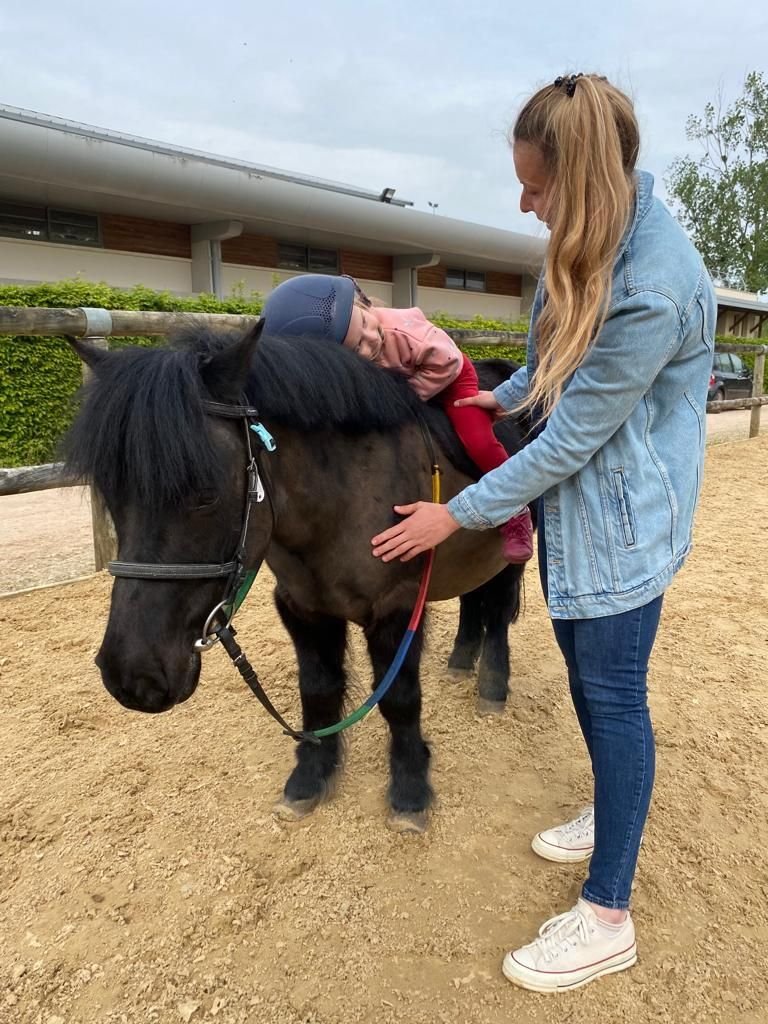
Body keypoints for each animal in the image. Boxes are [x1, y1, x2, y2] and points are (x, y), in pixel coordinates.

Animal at [65, 323, 530, 832]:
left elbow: (400, 699)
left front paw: (410, 790)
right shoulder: (303, 606)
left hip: (509, 555)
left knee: (498, 611)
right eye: (110, 489)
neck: (343, 498)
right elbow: (319, 691)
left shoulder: (396, 606)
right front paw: (310, 777)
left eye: (206, 494)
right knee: (473, 601)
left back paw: (492, 685)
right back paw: (461, 660)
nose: (131, 676)